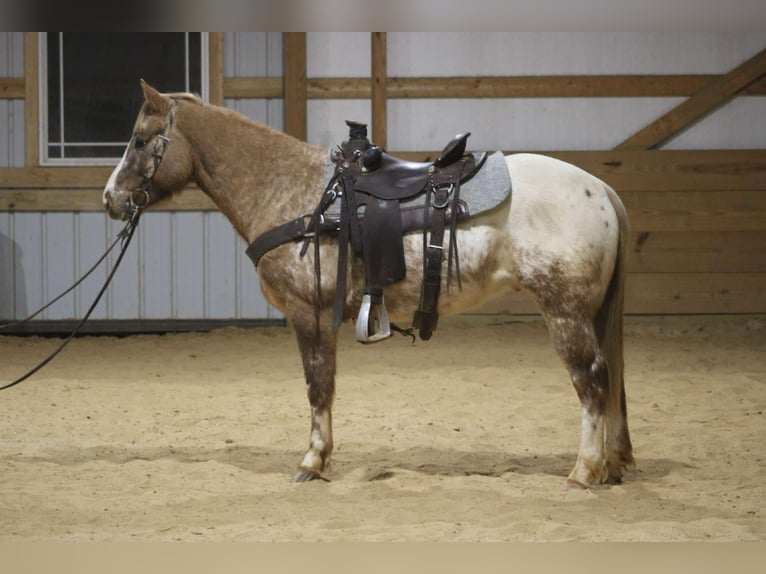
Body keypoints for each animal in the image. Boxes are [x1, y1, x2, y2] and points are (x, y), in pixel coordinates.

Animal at [102, 79, 636, 488]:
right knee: (610, 380)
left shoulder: (308, 314)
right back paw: (609, 465)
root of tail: (600, 188)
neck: (294, 192)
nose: (110, 198)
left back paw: (584, 470)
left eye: (141, 140)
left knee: (592, 380)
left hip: (565, 314)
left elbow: (317, 386)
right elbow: (325, 387)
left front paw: (311, 462)